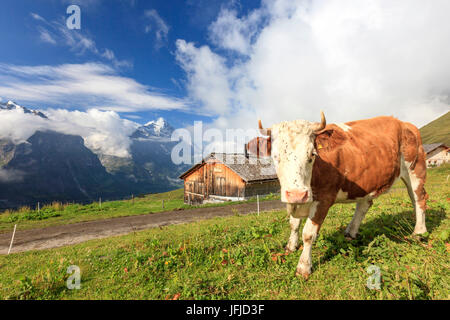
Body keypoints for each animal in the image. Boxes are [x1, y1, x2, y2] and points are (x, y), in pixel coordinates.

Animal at [250, 111, 428, 278]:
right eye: (275, 156)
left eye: (312, 154)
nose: (297, 194)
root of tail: (403, 123)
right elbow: (293, 224)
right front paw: (290, 246)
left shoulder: (324, 199)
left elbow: (308, 234)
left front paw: (303, 267)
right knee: (365, 205)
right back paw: (351, 232)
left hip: (415, 168)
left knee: (418, 198)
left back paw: (418, 232)